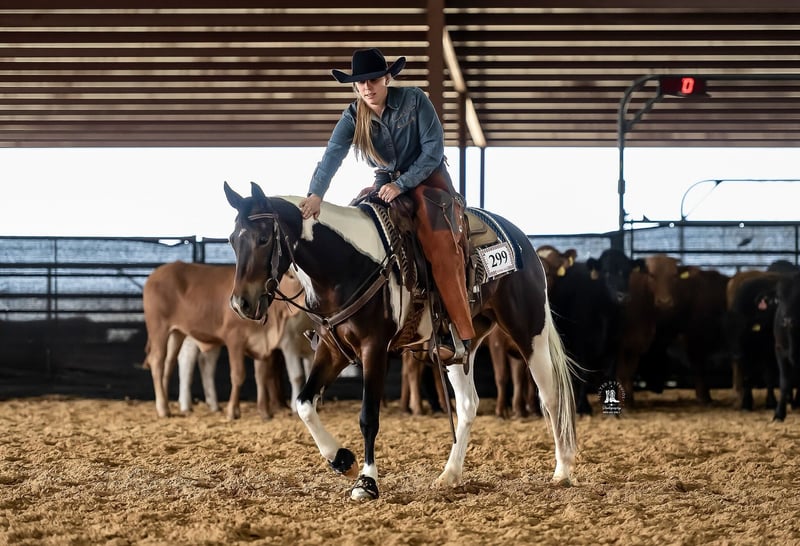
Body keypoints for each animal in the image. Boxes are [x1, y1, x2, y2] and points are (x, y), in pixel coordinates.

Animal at [142, 260, 304, 420]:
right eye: (291, 275)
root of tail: (156, 273)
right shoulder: (234, 339)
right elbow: (238, 375)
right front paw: (233, 411)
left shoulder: (262, 343)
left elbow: (261, 376)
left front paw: (265, 412)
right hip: (159, 328)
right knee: (157, 361)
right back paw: (163, 408)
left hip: (177, 333)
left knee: (168, 364)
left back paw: (165, 404)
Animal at [223, 181, 577, 500]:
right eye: (231, 240)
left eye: (263, 238)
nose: (241, 304)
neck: (346, 264)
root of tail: (521, 240)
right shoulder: (332, 348)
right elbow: (304, 403)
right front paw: (342, 460)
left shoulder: (374, 348)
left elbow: (368, 417)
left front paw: (366, 482)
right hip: (461, 343)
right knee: (468, 404)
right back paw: (450, 474)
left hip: (529, 330)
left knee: (551, 397)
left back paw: (562, 470)